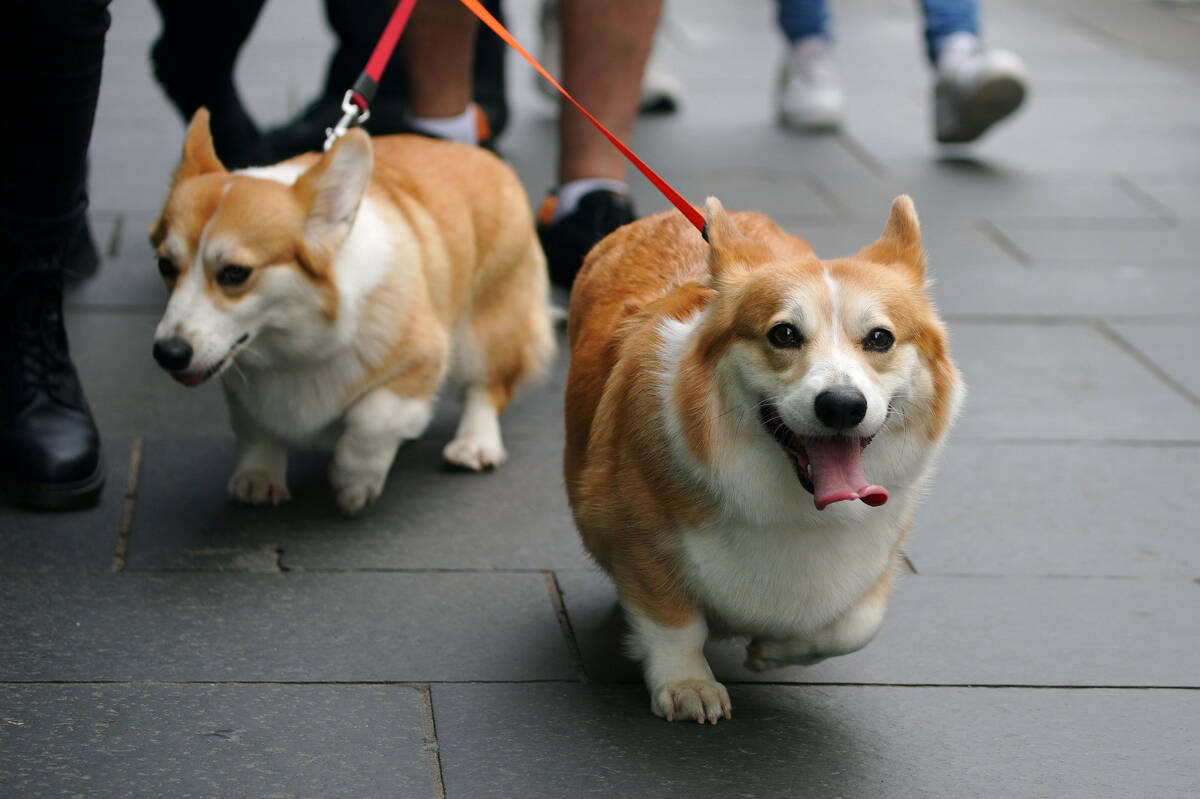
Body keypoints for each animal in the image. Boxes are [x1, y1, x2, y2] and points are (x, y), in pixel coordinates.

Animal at [148, 110, 552, 511]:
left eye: (235, 273)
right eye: (165, 266)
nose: (168, 354)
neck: (291, 345)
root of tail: (486, 157)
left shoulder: (423, 356)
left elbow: (372, 417)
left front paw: (354, 482)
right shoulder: (240, 382)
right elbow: (255, 427)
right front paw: (258, 477)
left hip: (483, 330)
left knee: (488, 386)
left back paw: (474, 443)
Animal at [564, 195, 964, 719]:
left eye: (880, 338)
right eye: (784, 334)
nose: (842, 405)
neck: (796, 504)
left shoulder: (879, 552)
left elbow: (856, 626)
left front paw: (773, 651)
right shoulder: (637, 534)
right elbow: (673, 622)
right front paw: (688, 685)